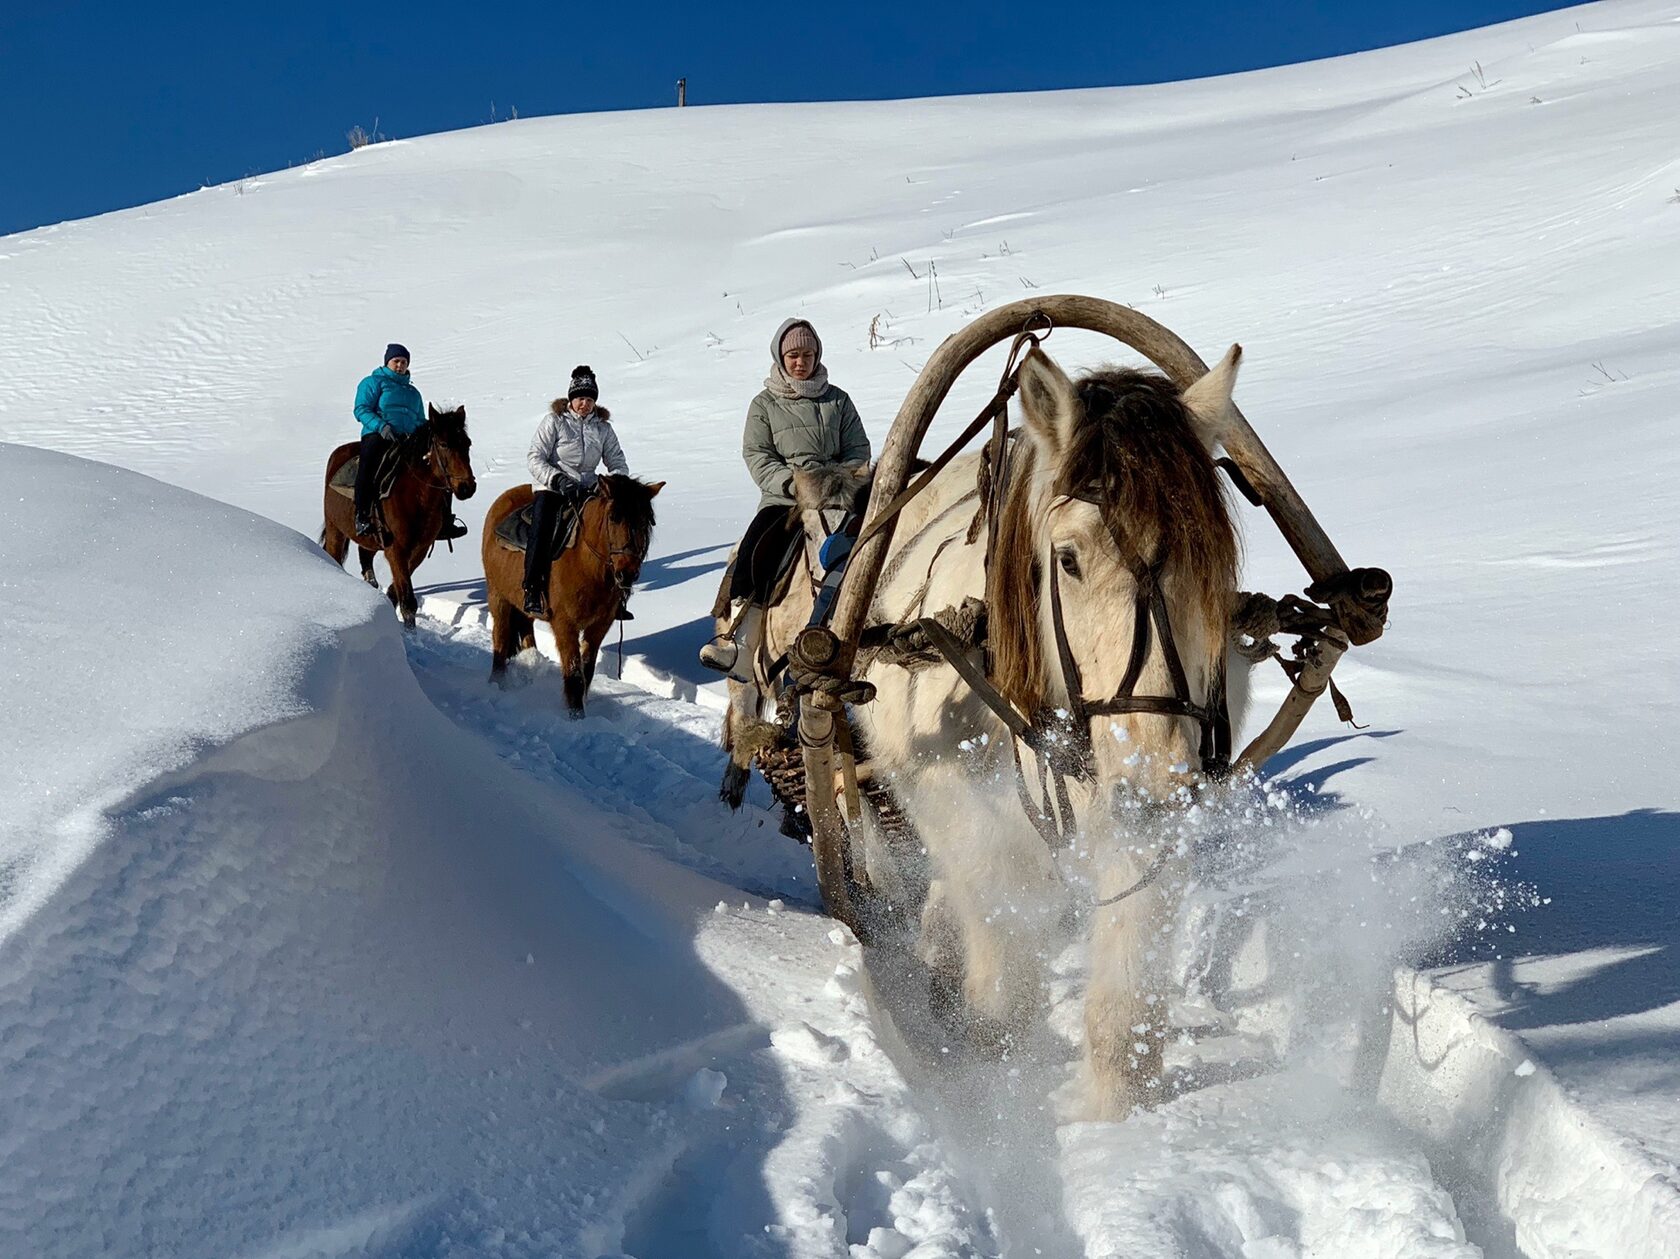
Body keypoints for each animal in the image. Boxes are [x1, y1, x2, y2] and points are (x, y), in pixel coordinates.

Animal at [320, 405, 480, 625]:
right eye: (444, 444)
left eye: (467, 443)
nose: (467, 487)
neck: (416, 497)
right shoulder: (396, 550)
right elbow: (408, 602)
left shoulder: (418, 550)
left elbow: (396, 594)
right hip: (336, 531)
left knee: (365, 558)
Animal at [480, 474, 661, 716]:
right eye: (614, 517)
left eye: (645, 521)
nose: (628, 574)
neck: (587, 565)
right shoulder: (565, 626)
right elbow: (574, 674)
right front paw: (577, 717)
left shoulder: (599, 626)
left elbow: (587, 670)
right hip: (498, 597)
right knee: (500, 642)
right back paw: (497, 683)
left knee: (526, 632)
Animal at [712, 460, 866, 823]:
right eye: (808, 532)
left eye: (857, 526)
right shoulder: (784, 667)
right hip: (740, 669)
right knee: (742, 714)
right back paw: (733, 785)